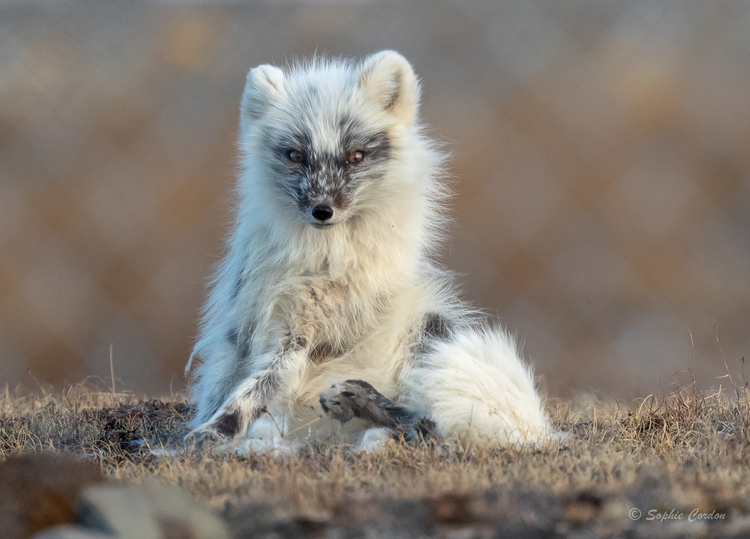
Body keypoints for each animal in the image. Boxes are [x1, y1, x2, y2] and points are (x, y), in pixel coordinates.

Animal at [188, 51, 552, 452]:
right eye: (295, 155)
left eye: (356, 156)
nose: (322, 210)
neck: (325, 261)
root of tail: (541, 429)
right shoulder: (262, 328)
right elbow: (236, 389)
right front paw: (210, 428)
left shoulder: (307, 332)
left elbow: (253, 391)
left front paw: (208, 435)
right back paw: (351, 401)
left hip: (432, 338)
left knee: (430, 425)